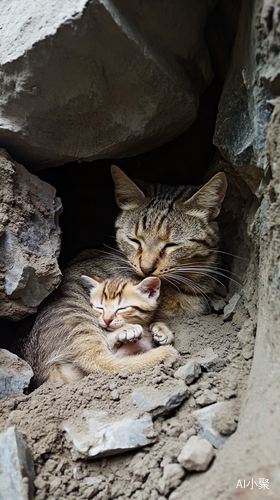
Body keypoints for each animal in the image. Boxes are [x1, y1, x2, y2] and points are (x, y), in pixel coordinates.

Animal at [13, 252, 177, 388]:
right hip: (79, 323)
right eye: (100, 308)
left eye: (122, 308)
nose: (107, 320)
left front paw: (160, 329)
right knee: (103, 362)